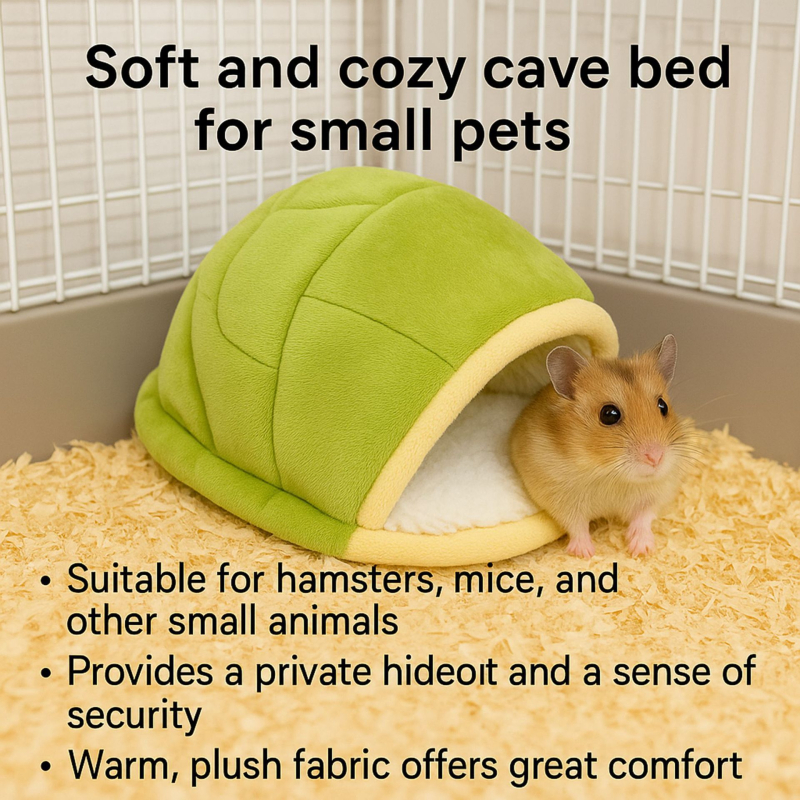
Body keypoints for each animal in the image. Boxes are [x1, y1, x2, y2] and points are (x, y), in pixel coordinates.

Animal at [510, 334, 692, 558]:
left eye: (663, 406)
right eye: (609, 414)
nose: (656, 458)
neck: (611, 474)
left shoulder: (658, 491)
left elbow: (644, 516)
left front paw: (640, 549)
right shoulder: (561, 500)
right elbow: (577, 525)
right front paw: (585, 553)